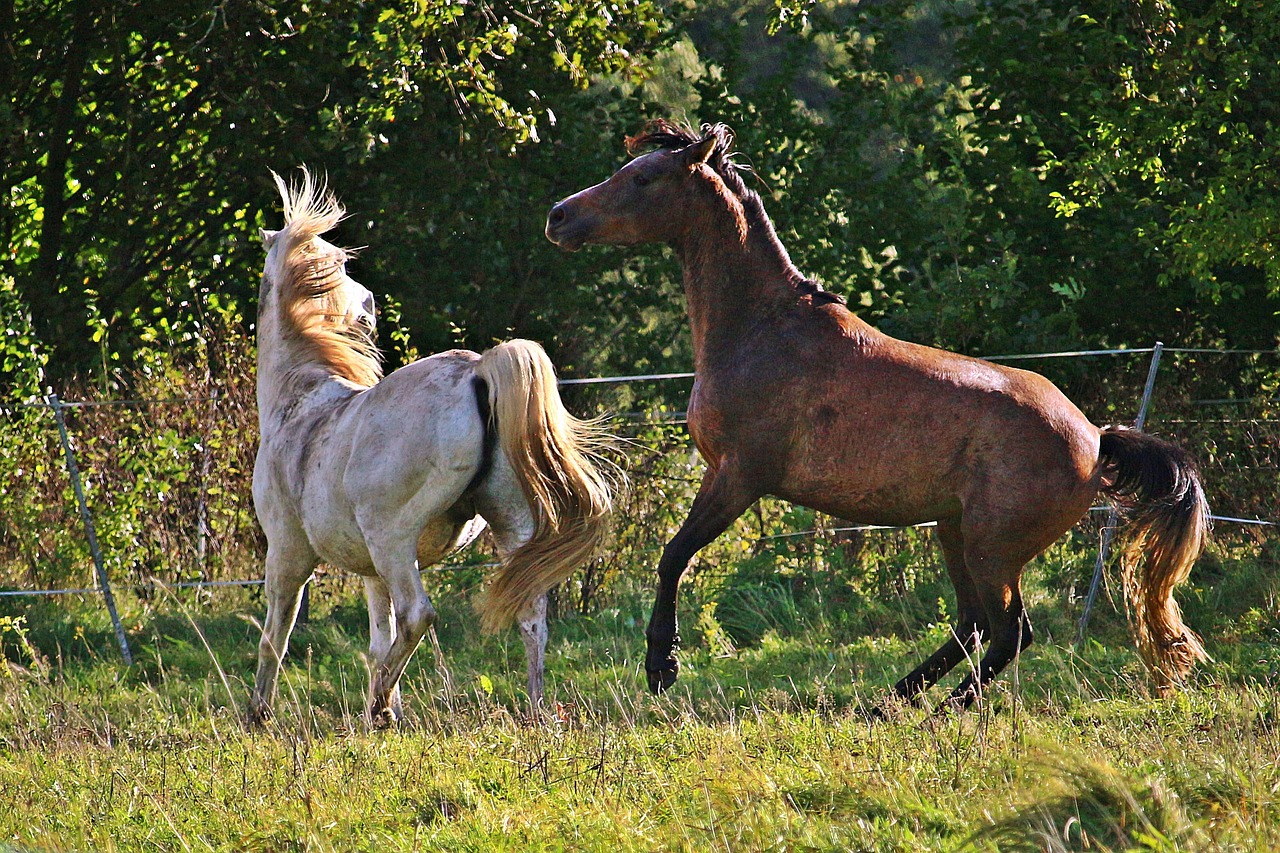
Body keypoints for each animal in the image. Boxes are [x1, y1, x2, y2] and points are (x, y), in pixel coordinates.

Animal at [250, 167, 619, 722]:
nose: (369, 306)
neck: (299, 398)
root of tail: (479, 370)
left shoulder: (288, 555)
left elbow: (277, 635)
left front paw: (258, 713)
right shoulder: (370, 571)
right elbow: (377, 638)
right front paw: (393, 716)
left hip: (393, 539)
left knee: (418, 614)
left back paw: (376, 705)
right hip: (509, 524)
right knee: (530, 613)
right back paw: (533, 712)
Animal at [542, 116, 1208, 706]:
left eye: (644, 177)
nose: (559, 216)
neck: (760, 330)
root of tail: (1096, 438)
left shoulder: (739, 475)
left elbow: (674, 555)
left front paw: (662, 665)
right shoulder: (728, 475)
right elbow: (675, 556)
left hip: (991, 548)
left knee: (1010, 632)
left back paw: (942, 709)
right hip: (954, 531)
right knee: (973, 625)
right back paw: (887, 702)